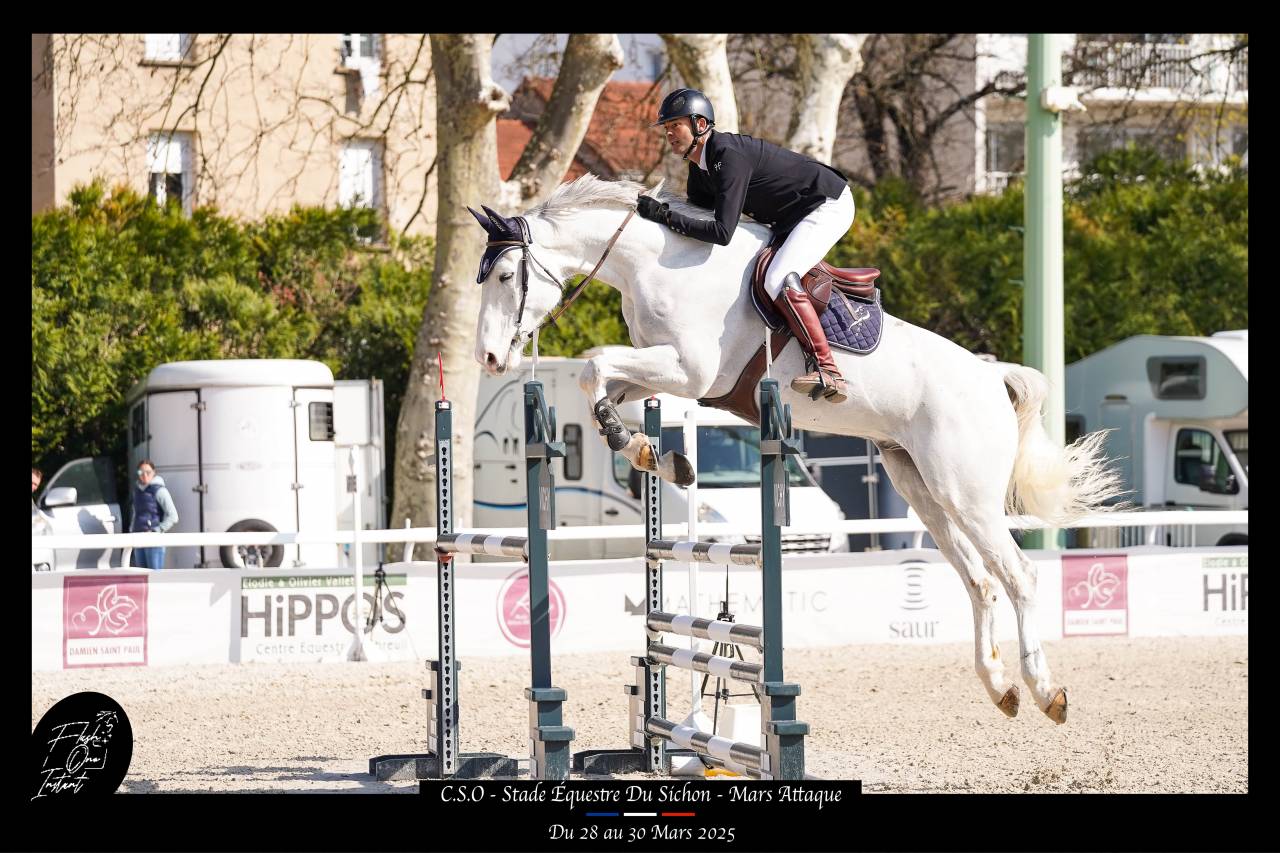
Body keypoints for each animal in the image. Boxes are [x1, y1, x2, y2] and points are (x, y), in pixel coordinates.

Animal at [467, 174, 1123, 725]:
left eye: (504, 277)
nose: (490, 359)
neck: (654, 263)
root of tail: (992, 378)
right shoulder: (664, 374)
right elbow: (598, 380)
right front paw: (655, 454)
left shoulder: (689, 371)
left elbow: (593, 364)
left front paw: (650, 451)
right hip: (921, 487)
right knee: (980, 582)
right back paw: (1000, 688)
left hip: (968, 494)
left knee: (1018, 577)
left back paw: (1046, 692)